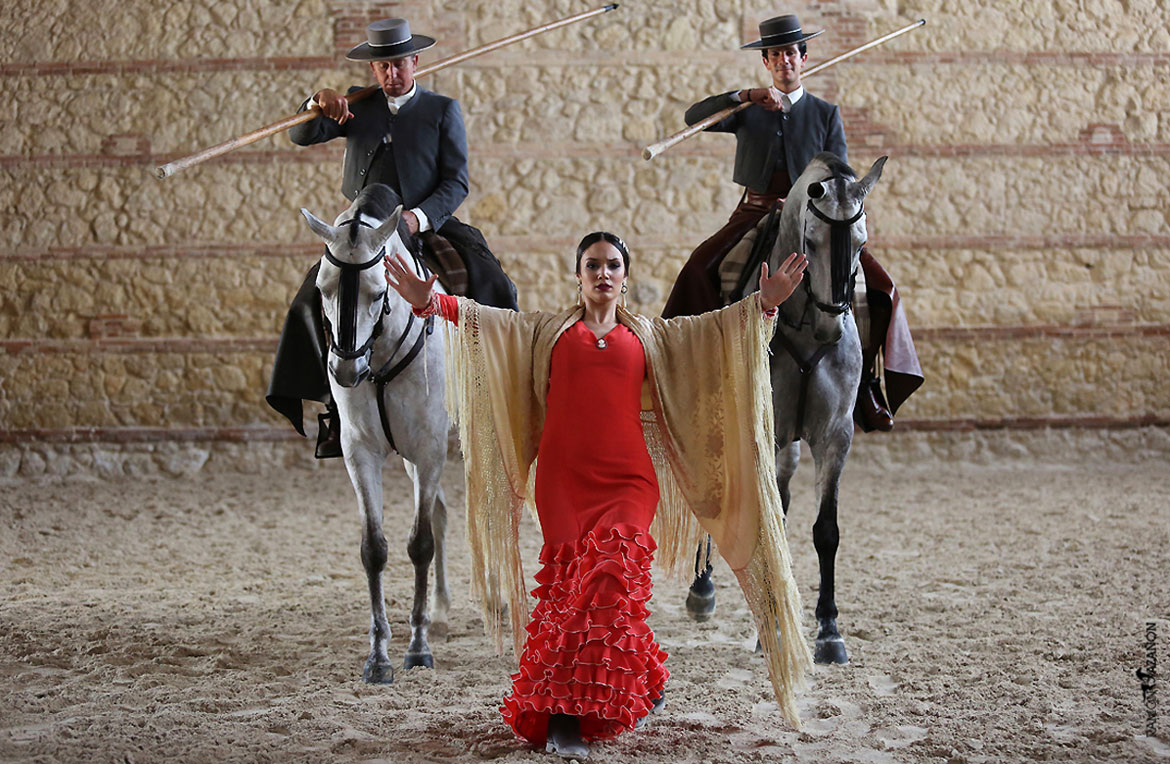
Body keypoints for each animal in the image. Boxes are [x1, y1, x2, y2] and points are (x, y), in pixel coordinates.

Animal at [299, 183, 449, 678]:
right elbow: (375, 548)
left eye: (378, 289)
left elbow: (419, 544)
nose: (347, 370)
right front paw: (379, 655)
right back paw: (441, 610)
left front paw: (418, 648)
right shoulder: (361, 452)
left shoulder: (429, 450)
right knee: (443, 516)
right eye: (322, 288)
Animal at [683, 150, 884, 659]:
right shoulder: (763, 429)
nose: (832, 328)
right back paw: (703, 590)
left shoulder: (834, 436)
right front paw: (771, 627)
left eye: (861, 243)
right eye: (810, 241)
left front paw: (829, 630)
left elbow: (825, 530)